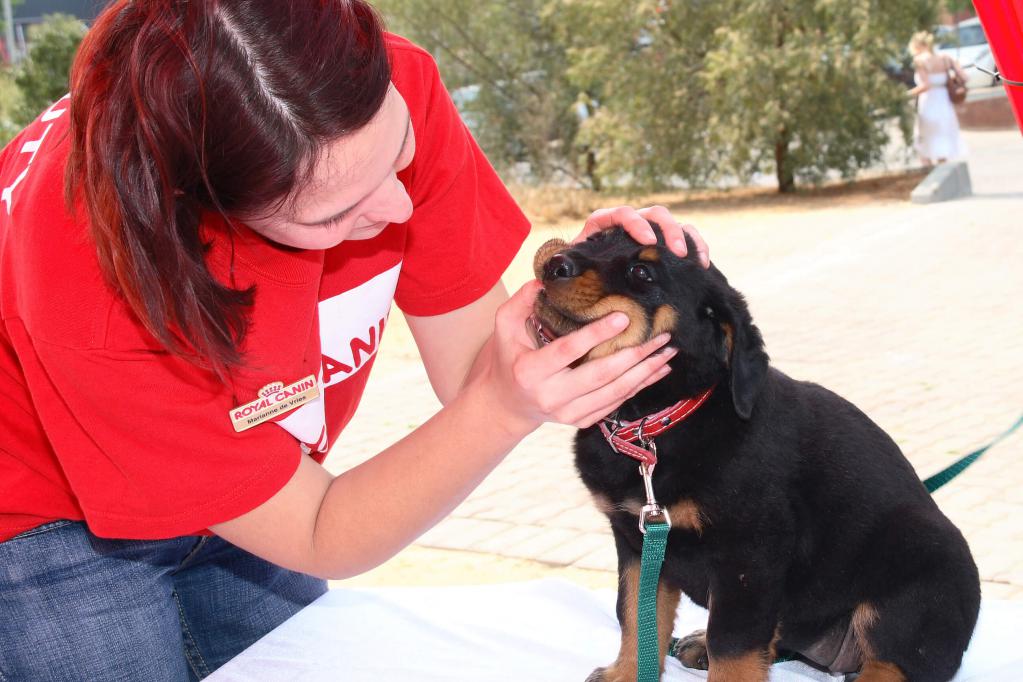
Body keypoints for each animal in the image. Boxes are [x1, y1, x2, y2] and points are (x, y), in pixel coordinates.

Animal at [531, 228, 977, 682]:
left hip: (916, 574)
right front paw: (626, 673)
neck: (651, 425)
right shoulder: (637, 542)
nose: (555, 264)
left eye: (643, 273)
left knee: (893, 662)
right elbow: (636, 614)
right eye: (596, 237)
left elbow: (731, 642)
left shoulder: (748, 554)